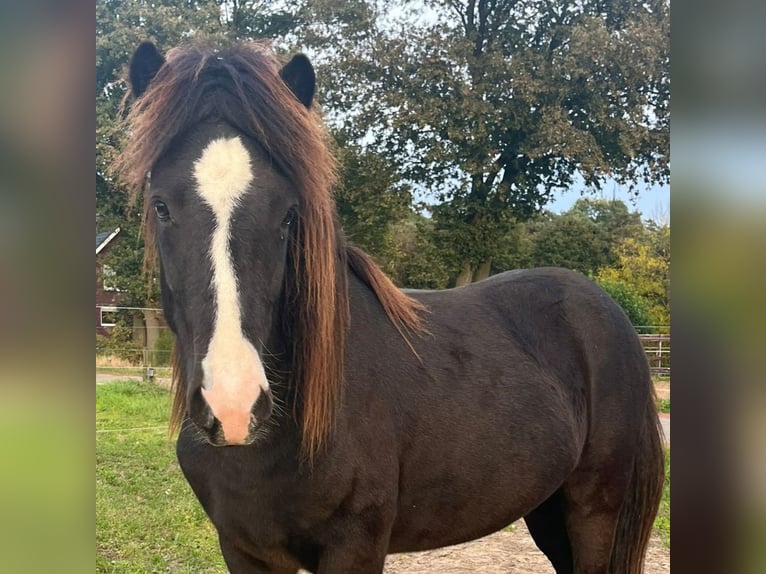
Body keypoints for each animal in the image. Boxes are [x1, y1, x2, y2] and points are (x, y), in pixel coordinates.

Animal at [120, 41, 664, 574]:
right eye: (161, 206)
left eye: (288, 215)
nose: (232, 405)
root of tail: (609, 314)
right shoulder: (243, 549)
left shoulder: (356, 546)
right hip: (548, 512)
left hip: (592, 509)